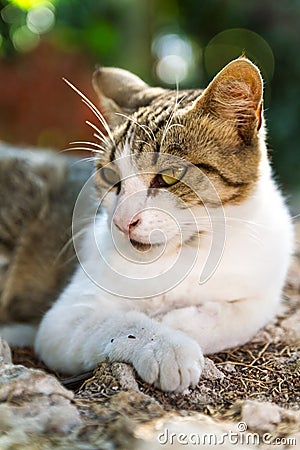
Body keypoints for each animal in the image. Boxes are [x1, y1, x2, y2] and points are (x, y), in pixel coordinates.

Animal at [2, 58, 292, 392]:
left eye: (168, 176)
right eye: (109, 176)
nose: (121, 220)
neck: (190, 251)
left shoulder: (264, 286)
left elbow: (241, 314)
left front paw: (175, 320)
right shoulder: (62, 320)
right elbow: (122, 322)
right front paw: (167, 346)